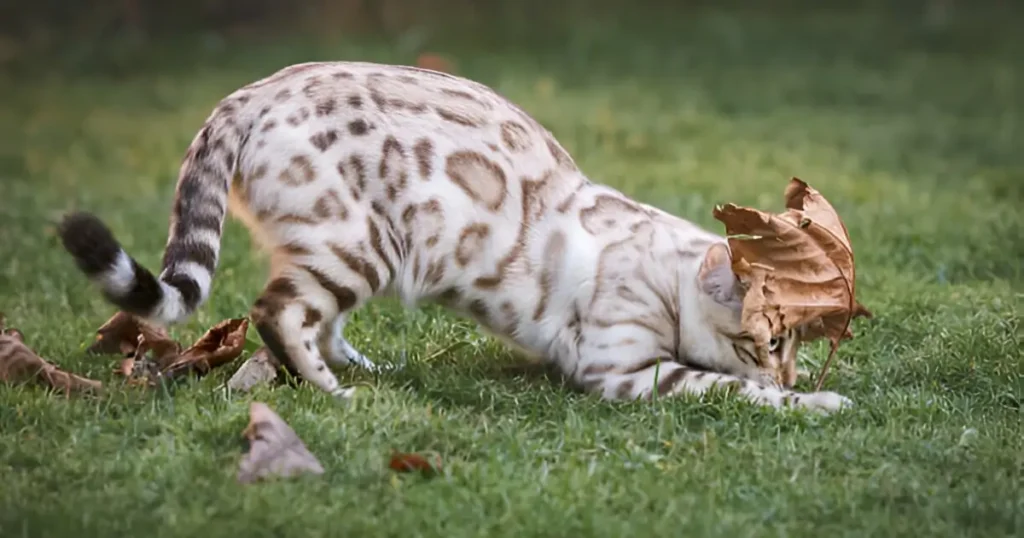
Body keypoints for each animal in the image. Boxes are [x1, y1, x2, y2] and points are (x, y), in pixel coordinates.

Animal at [58, 59, 856, 411]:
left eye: (793, 344)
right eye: (771, 343)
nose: (792, 372)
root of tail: (250, 91)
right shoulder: (623, 370)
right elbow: (731, 389)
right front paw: (816, 403)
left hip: (346, 251)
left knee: (315, 318)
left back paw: (366, 369)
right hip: (360, 245)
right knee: (276, 313)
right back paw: (335, 394)